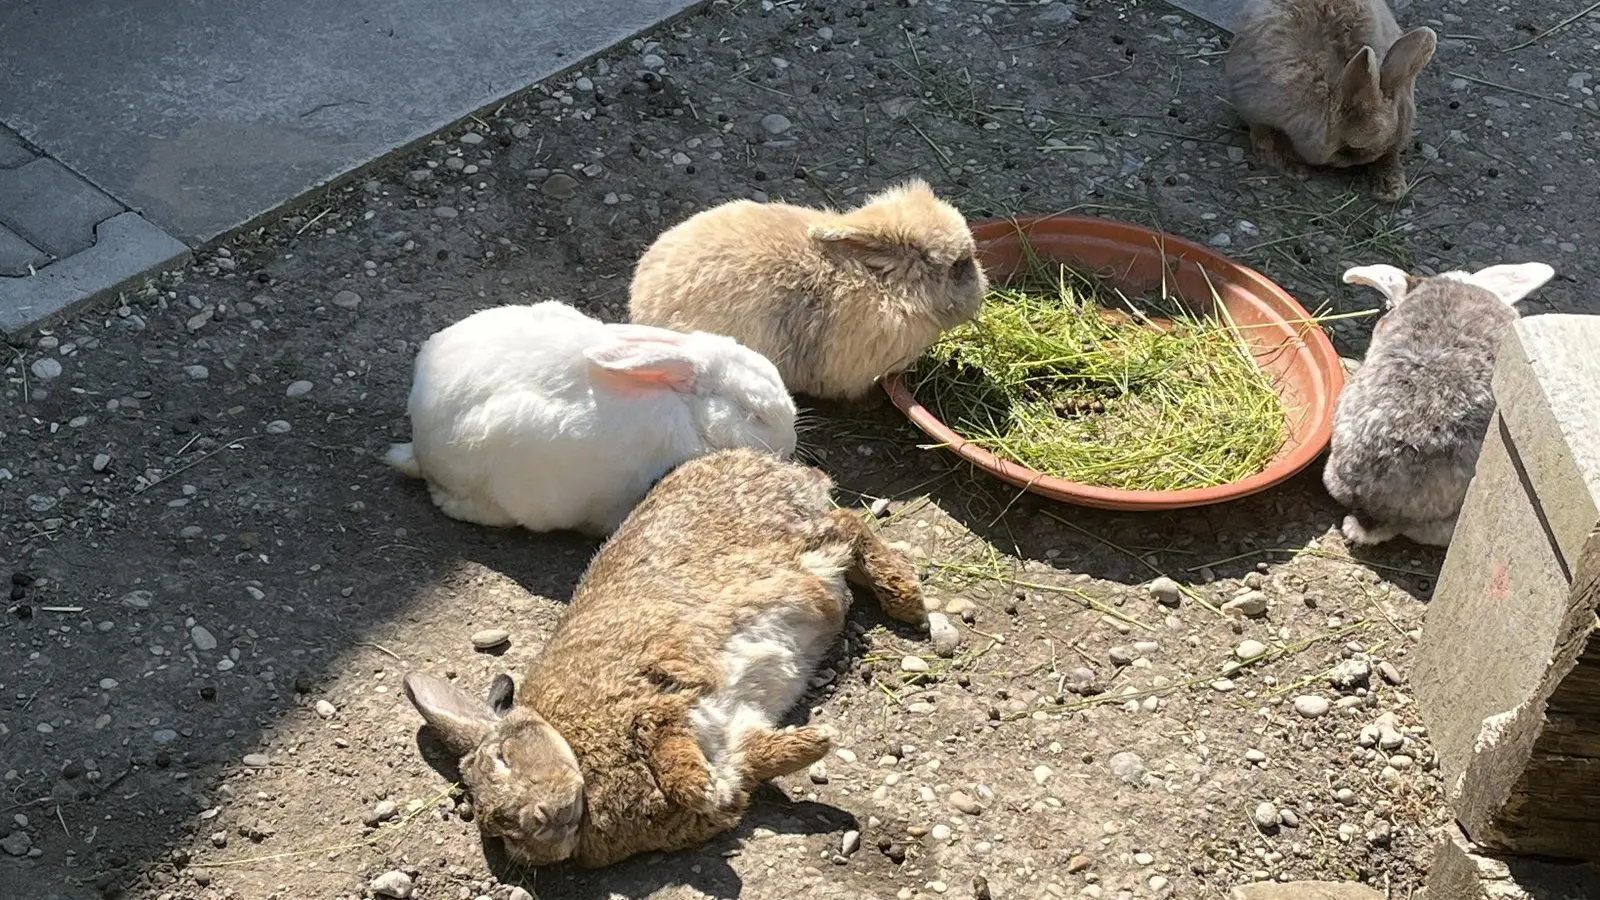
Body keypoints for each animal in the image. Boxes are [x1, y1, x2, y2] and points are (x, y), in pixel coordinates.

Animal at [403, 447, 928, 868]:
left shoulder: (651, 699)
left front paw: (698, 786)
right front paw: (813, 744)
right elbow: (755, 760)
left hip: (794, 545)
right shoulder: (732, 747)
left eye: (505, 757)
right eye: (499, 831)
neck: (577, 754)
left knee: (849, 524)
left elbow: (672, 756)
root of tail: (765, 462)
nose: (537, 821)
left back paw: (907, 598)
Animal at [1224, 0, 1438, 202]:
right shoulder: (1256, 110)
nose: (1351, 164)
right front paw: (1293, 169)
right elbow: (1264, 139)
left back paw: (1390, 188)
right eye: (1350, 148)